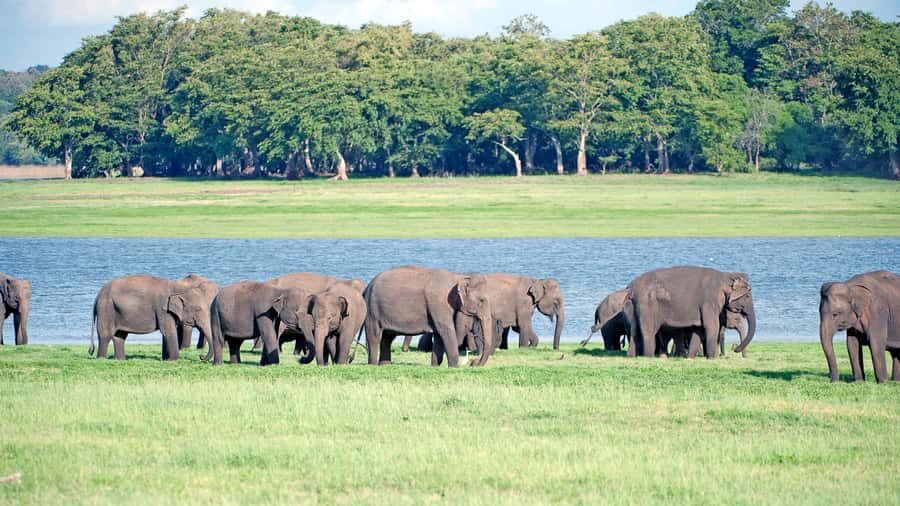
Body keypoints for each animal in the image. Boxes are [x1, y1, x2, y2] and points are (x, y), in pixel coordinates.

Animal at [89, 274, 218, 360]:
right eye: (198, 309)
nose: (201, 356)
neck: (178, 286)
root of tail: (97, 296)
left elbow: (166, 333)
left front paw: (166, 359)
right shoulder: (163, 309)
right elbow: (168, 331)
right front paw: (173, 360)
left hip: (117, 311)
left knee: (120, 336)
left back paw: (119, 360)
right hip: (107, 309)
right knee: (106, 335)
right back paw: (101, 359)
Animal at [363, 265, 494, 367]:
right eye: (482, 300)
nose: (474, 363)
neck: (457, 276)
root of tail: (368, 286)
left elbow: (439, 335)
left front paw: (435, 366)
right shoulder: (439, 304)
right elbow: (446, 330)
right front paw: (454, 367)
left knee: (387, 337)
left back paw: (385, 365)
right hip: (372, 309)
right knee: (374, 335)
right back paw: (373, 365)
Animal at [622, 266, 756, 358]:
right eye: (748, 296)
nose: (735, 349)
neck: (725, 276)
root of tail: (630, 287)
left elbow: (699, 329)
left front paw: (691, 358)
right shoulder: (709, 302)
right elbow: (712, 326)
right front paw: (712, 358)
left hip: (632, 306)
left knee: (634, 331)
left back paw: (632, 356)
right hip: (647, 304)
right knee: (648, 331)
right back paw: (649, 357)